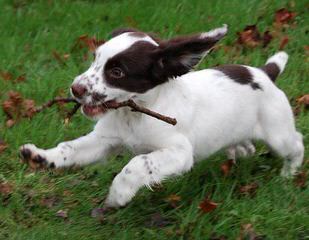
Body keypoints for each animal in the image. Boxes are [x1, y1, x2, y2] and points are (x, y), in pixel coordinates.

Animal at [19, 24, 304, 208]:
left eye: (117, 72)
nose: (75, 89)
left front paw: (118, 195)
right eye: (94, 59)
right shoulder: (105, 140)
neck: (133, 114)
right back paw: (239, 154)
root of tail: (265, 72)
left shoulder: (180, 152)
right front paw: (40, 156)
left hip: (277, 133)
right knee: (246, 145)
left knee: (297, 143)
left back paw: (288, 176)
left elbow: (137, 163)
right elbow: (70, 149)